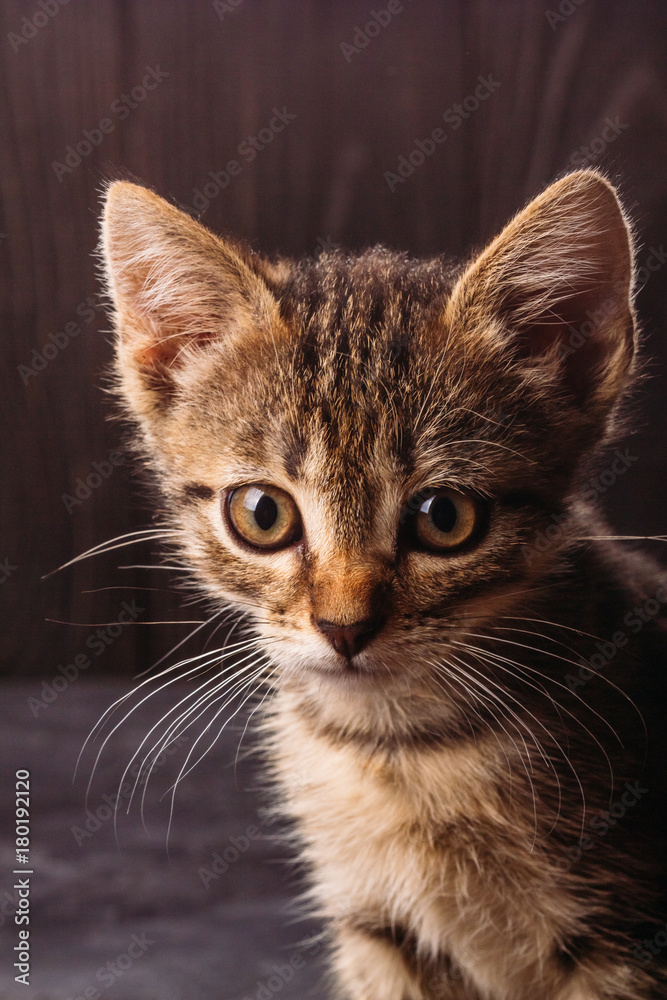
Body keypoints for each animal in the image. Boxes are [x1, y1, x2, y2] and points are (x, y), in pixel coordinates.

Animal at [99, 172, 667, 1000]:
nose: (344, 627)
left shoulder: (625, 935)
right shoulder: (379, 927)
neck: (397, 749)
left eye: (444, 517)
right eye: (261, 513)